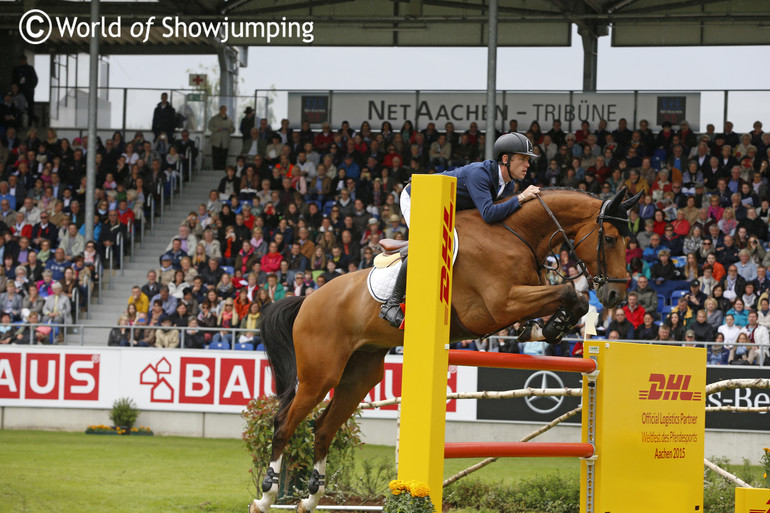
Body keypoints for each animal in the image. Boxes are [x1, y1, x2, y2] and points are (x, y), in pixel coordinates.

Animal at [249, 186, 640, 510]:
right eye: (609, 238)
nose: (615, 295)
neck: (518, 236)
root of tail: (310, 298)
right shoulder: (498, 307)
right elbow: (568, 291)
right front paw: (555, 323)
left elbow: (571, 297)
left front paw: (553, 326)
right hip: (321, 374)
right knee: (284, 423)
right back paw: (267, 495)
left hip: (359, 376)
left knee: (323, 429)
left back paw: (310, 500)